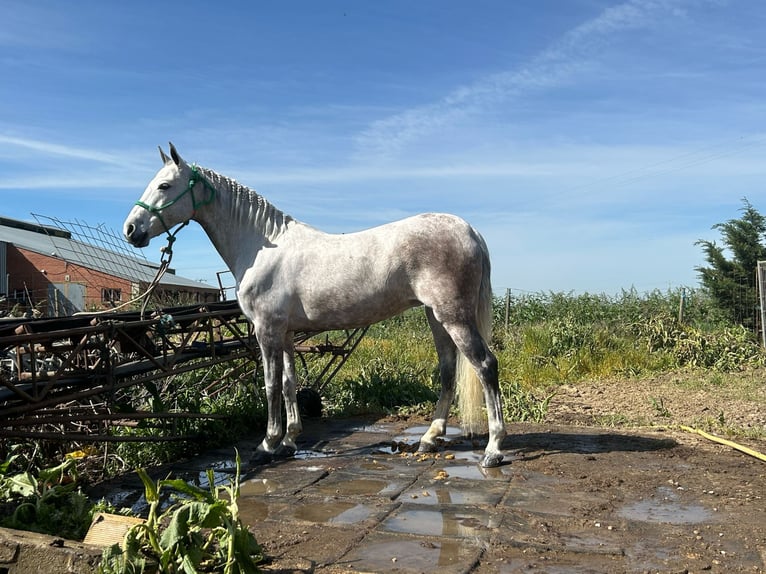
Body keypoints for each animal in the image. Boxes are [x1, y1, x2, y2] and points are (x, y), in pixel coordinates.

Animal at [124, 143, 510, 468]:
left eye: (164, 186)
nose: (131, 229)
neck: (263, 246)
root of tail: (468, 229)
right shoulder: (286, 333)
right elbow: (289, 383)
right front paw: (289, 441)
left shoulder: (266, 330)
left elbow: (269, 385)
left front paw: (266, 444)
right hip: (435, 316)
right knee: (447, 370)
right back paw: (430, 438)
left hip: (453, 316)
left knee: (485, 365)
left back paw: (493, 449)